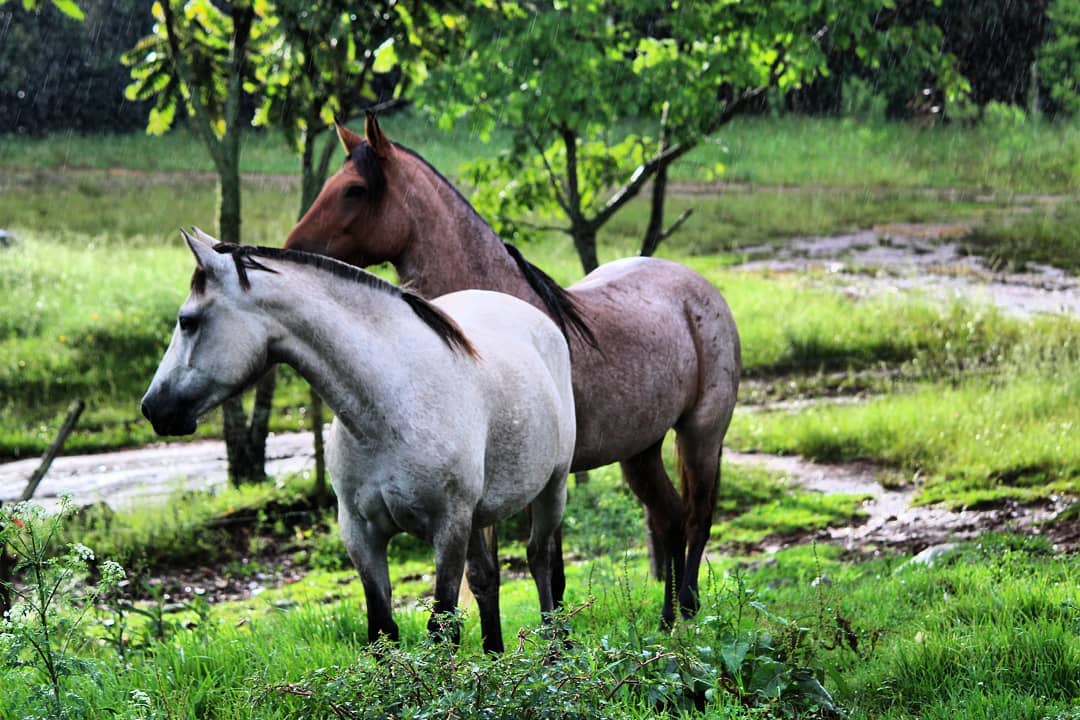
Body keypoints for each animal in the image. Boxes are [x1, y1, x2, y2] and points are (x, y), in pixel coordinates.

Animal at [144, 231, 583, 651]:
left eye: (188, 321)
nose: (152, 407)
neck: (393, 403)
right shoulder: (361, 533)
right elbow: (382, 631)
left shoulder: (448, 527)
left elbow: (441, 629)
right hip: (479, 517)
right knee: (485, 578)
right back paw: (495, 657)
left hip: (551, 490)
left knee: (541, 563)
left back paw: (556, 653)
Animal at [287, 115, 743, 621]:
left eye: (355, 189)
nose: (292, 249)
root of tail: (700, 288)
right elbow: (486, 578)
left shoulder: (544, 483)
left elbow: (551, 572)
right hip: (640, 450)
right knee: (670, 518)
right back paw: (668, 620)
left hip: (701, 434)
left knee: (698, 517)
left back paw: (690, 610)